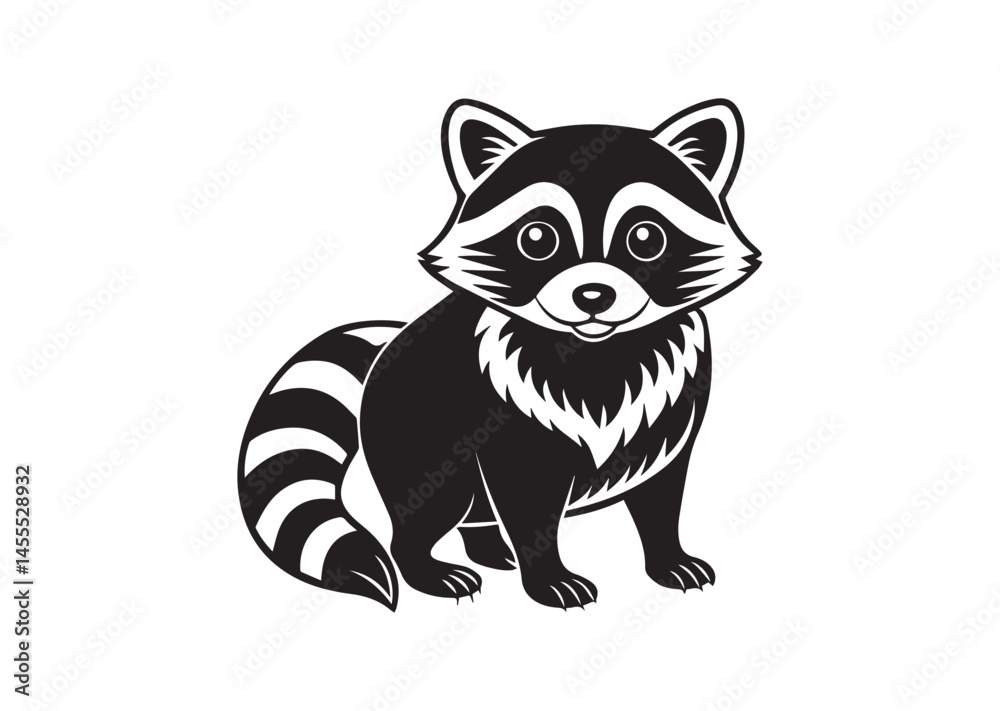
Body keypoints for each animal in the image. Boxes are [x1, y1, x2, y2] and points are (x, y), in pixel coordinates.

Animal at [237, 99, 760, 610]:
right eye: (538, 238)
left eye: (646, 238)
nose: (593, 295)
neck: (598, 350)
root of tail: (389, 342)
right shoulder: (508, 412)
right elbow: (527, 497)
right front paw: (548, 575)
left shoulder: (672, 408)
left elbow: (662, 494)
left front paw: (668, 556)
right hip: (420, 434)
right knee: (434, 502)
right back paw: (427, 567)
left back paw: (488, 548)